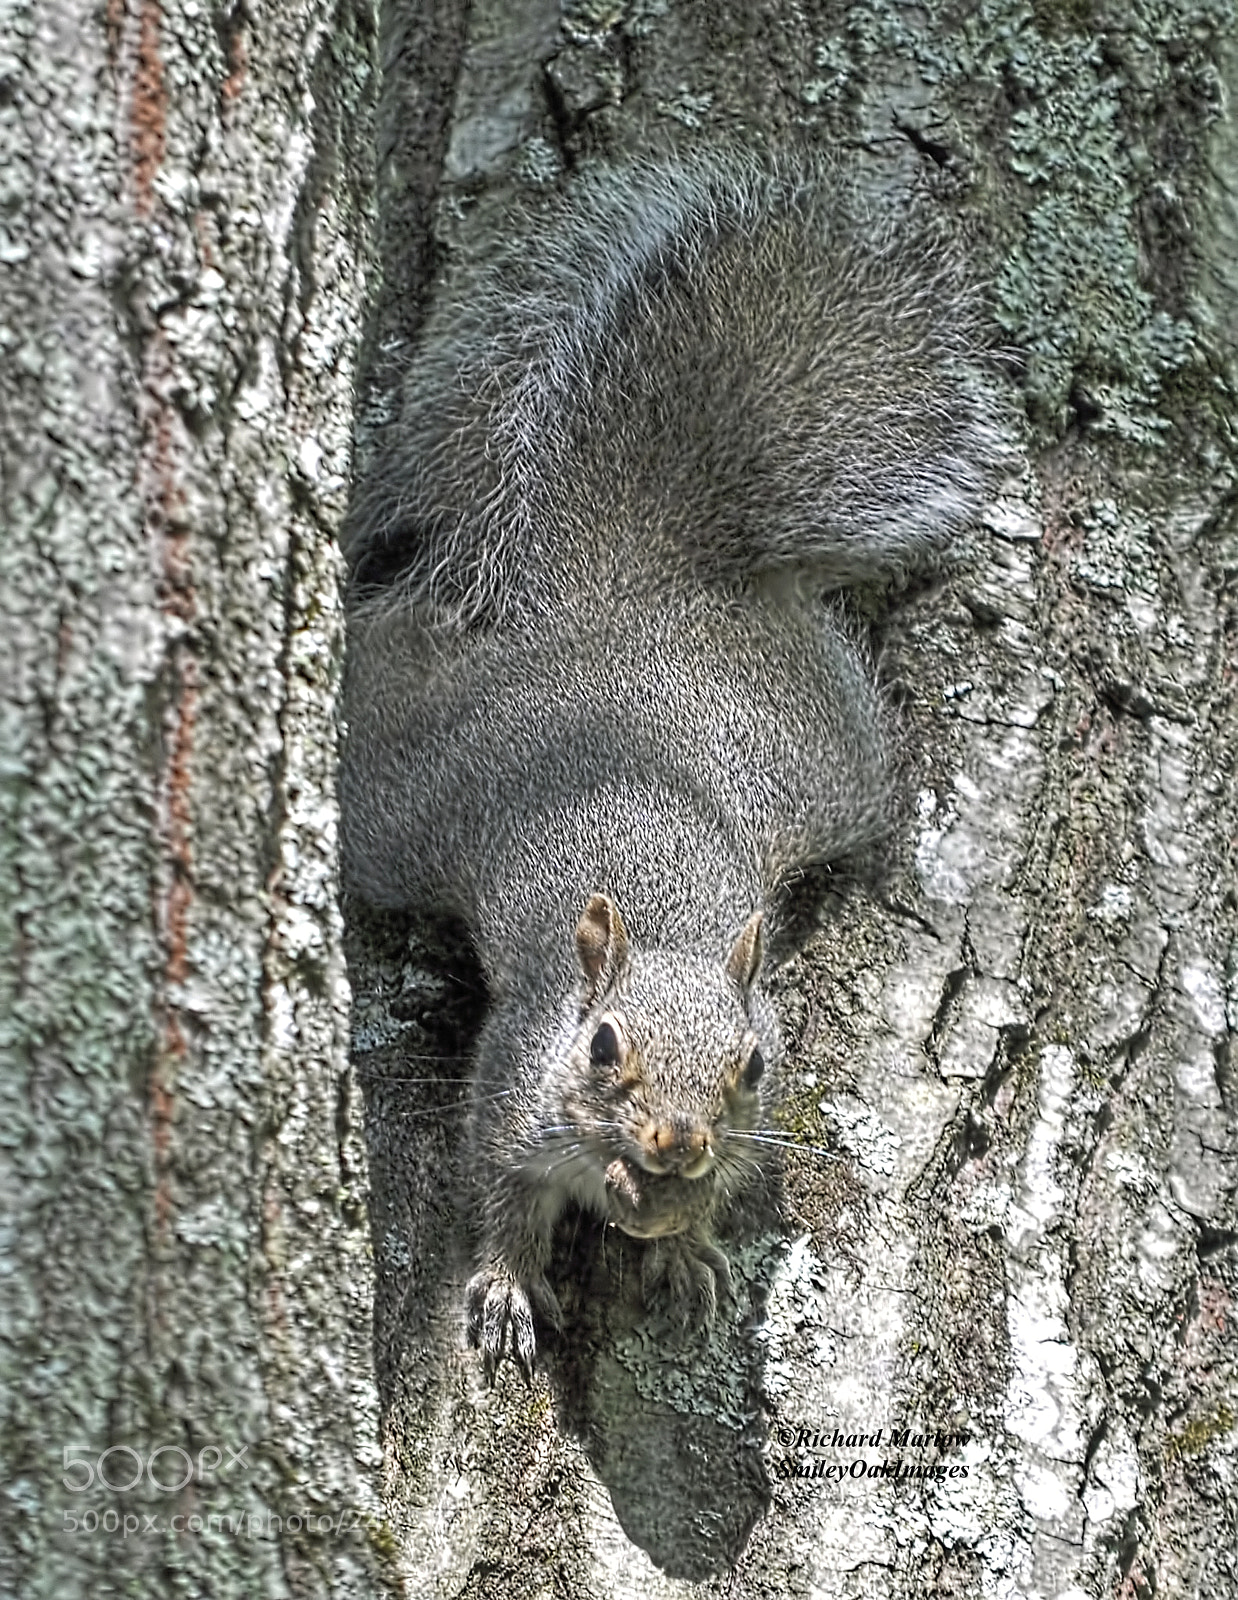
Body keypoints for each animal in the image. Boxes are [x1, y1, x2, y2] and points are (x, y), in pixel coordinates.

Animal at [339, 150, 1006, 1381]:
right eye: (603, 1045)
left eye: (753, 1065)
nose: (676, 1138)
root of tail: (629, 599)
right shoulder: (510, 1092)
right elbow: (497, 1198)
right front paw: (509, 1283)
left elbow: (711, 1202)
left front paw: (684, 1243)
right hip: (402, 795)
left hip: (827, 755)